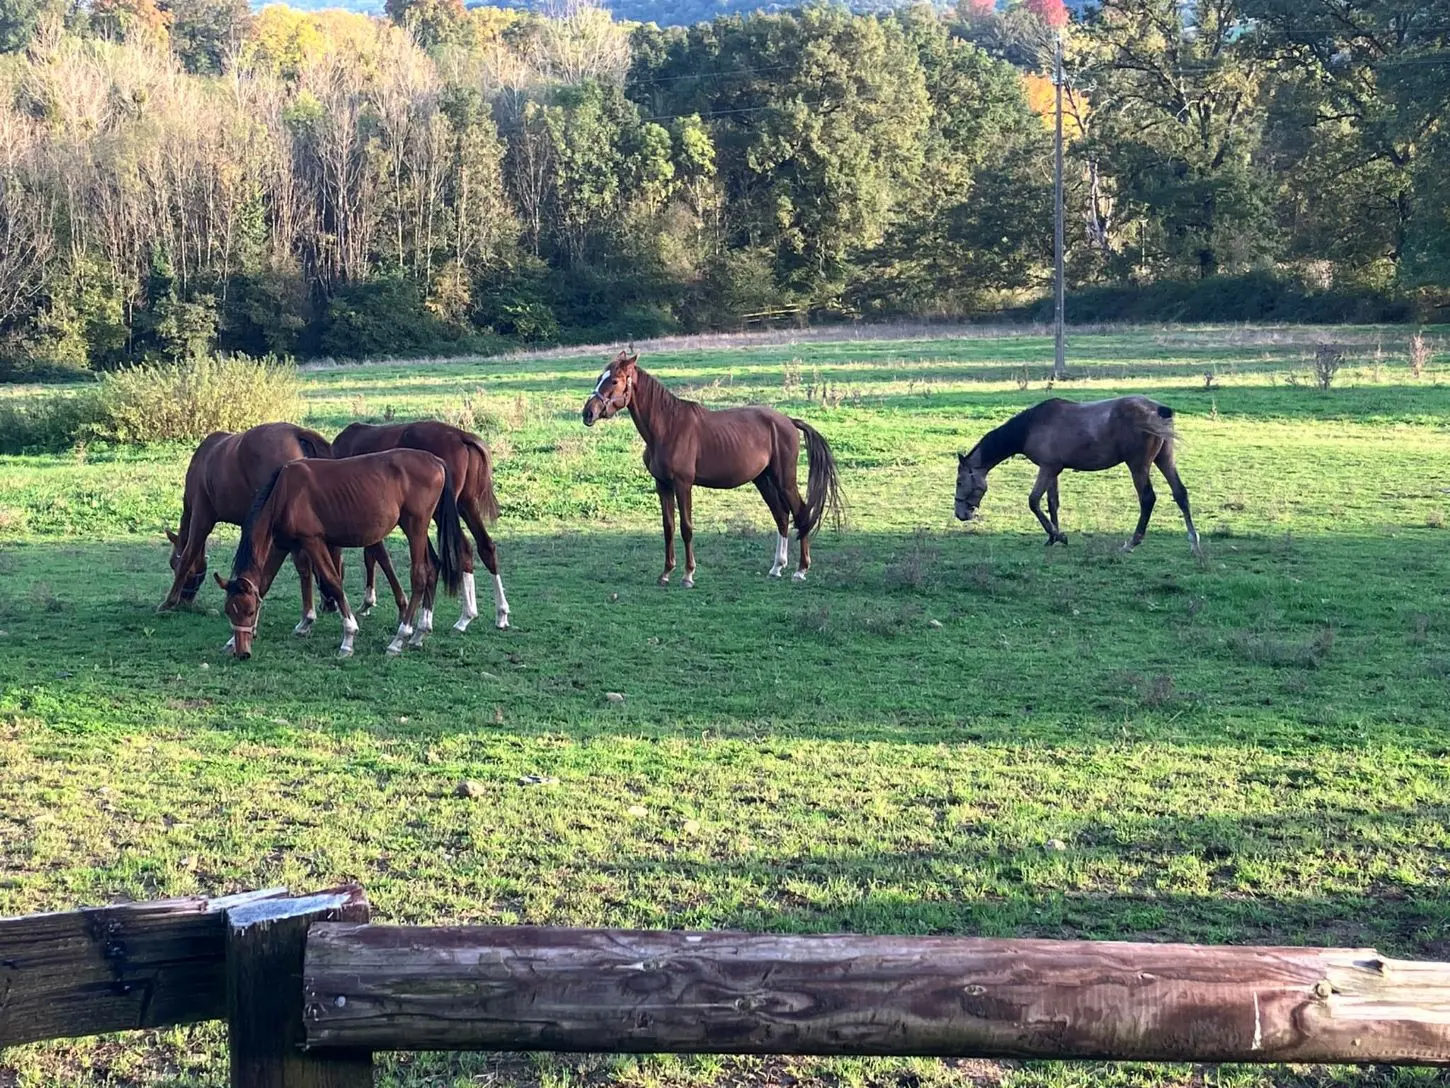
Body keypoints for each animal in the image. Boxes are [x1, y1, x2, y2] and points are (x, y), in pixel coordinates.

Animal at [159, 422, 339, 636]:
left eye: (172, 564)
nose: (186, 601)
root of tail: (297, 432)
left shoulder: (202, 518)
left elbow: (188, 555)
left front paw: (169, 601)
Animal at [216, 449, 465, 659]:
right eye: (230, 611)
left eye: (249, 611)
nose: (243, 653)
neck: (284, 493)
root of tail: (436, 461)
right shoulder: (282, 544)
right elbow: (264, 585)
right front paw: (231, 641)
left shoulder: (313, 541)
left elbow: (333, 582)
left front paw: (348, 638)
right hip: (416, 529)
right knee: (433, 568)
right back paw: (420, 632)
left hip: (415, 527)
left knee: (420, 575)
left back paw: (400, 638)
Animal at [332, 420, 509, 631]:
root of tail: (461, 437)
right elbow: (374, 554)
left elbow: (376, 555)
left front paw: (370, 602)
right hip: (465, 504)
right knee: (484, 547)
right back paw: (494, 614)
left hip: (442, 512)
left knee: (462, 549)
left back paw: (463, 616)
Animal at [582, 351, 844, 586]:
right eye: (599, 378)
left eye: (615, 381)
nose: (588, 413)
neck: (668, 427)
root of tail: (788, 421)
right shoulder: (662, 484)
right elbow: (668, 527)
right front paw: (665, 573)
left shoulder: (683, 485)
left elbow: (686, 528)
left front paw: (688, 575)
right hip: (763, 479)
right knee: (781, 516)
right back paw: (777, 567)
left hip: (784, 480)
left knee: (800, 513)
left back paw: (800, 570)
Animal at [954, 396, 1201, 555]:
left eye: (959, 481)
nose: (960, 514)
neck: (1030, 427)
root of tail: (1158, 410)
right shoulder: (1053, 470)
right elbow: (1052, 503)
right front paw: (1053, 537)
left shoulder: (1047, 468)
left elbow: (1033, 501)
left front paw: (1059, 536)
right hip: (1164, 459)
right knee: (1180, 494)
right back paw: (1194, 543)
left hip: (1138, 466)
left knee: (1148, 499)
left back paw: (1132, 543)